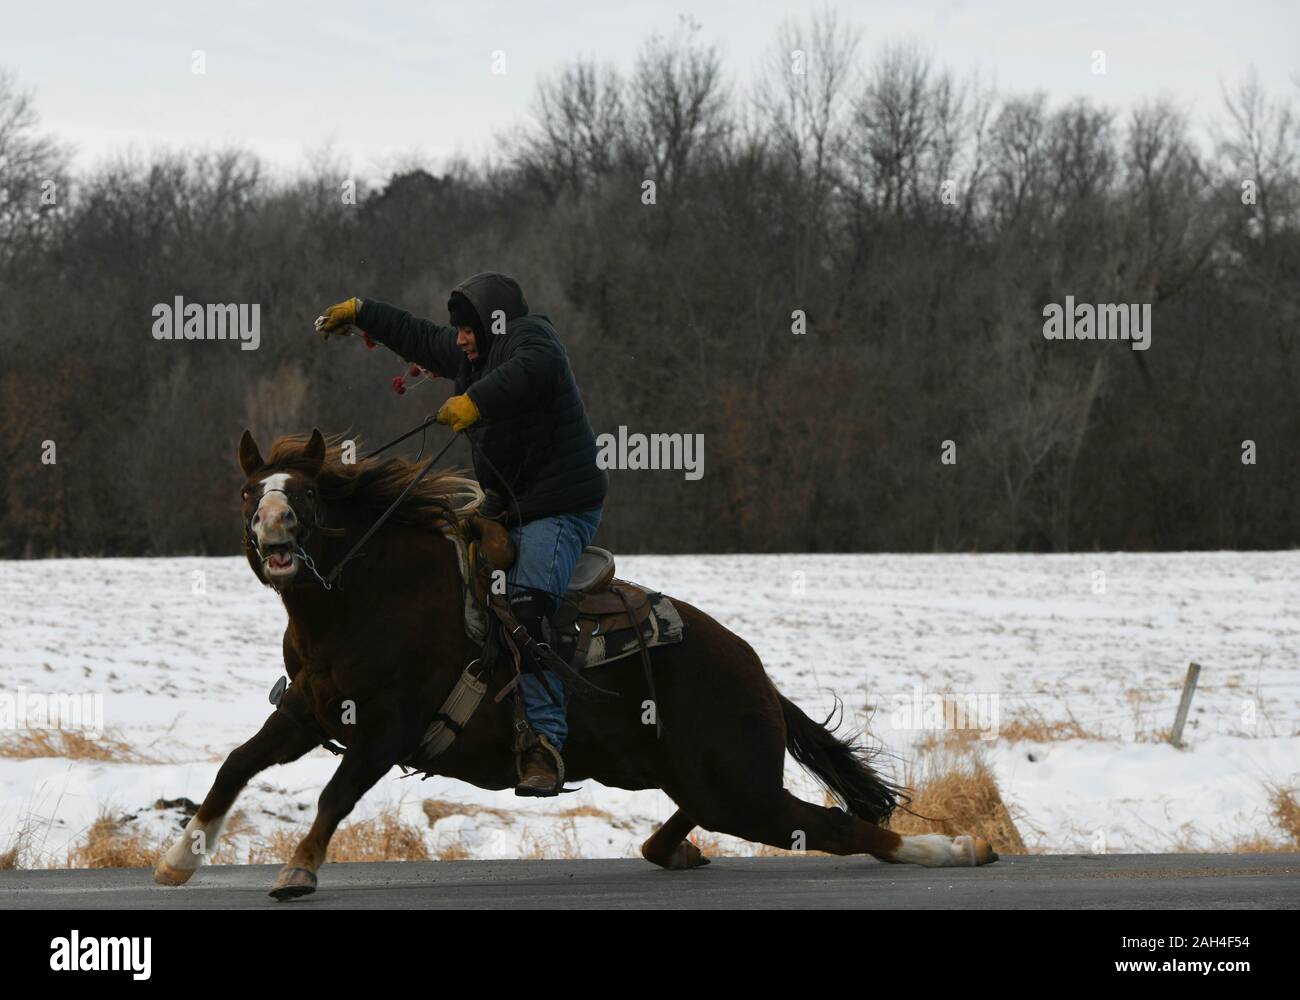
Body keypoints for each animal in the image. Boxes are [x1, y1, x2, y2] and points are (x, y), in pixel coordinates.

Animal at [153, 428, 997, 899]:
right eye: (248, 492)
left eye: (308, 494)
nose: (273, 533)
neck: (366, 598)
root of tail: (754, 672)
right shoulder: (308, 711)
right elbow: (236, 764)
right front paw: (177, 861)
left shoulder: (385, 729)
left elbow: (335, 793)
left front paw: (297, 872)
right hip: (694, 779)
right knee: (713, 825)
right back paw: (675, 849)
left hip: (739, 788)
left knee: (836, 826)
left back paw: (954, 850)